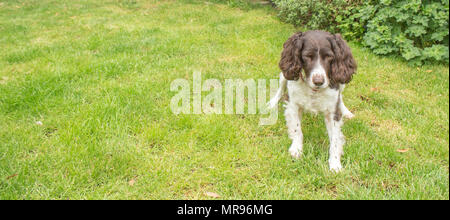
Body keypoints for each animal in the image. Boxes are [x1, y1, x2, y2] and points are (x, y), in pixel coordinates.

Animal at [268, 30, 358, 172]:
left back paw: (346, 112)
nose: (318, 81)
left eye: (329, 56)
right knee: (280, 88)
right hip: (284, 74)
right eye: (307, 56)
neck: (314, 91)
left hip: (342, 83)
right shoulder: (293, 104)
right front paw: (297, 149)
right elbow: (297, 129)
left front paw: (335, 163)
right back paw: (272, 103)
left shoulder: (332, 112)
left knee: (341, 96)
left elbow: (335, 140)